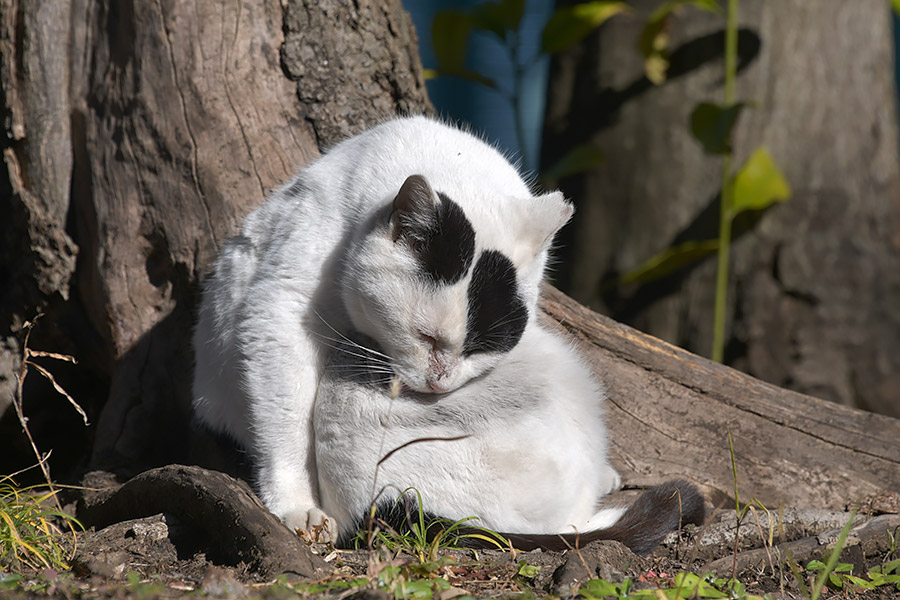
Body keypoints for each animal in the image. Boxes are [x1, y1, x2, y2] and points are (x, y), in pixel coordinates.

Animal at [193, 116, 572, 536]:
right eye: (425, 336)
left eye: (477, 349)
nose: (440, 382)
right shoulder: (281, 309)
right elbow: (287, 416)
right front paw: (297, 504)